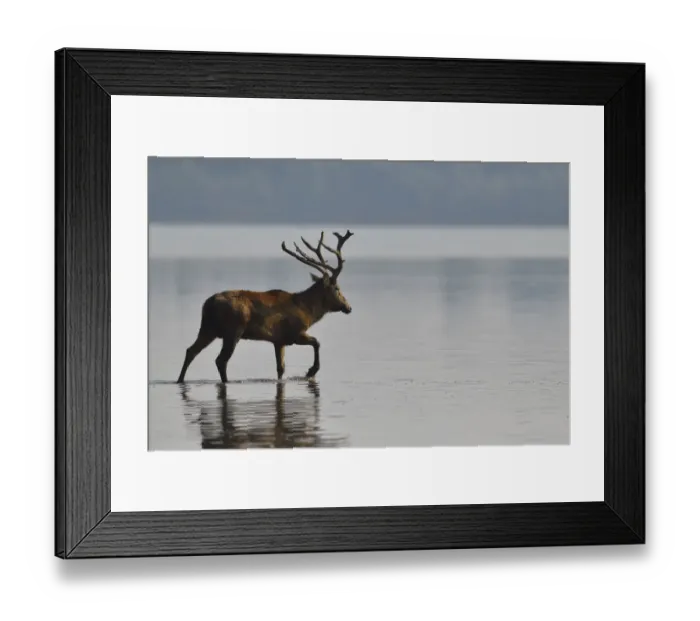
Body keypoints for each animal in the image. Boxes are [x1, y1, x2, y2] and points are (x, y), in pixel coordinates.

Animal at [176, 230, 354, 384]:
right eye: (337, 288)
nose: (348, 307)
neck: (308, 311)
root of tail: (209, 304)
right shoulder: (294, 333)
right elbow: (317, 342)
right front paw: (311, 371)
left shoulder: (279, 340)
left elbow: (280, 368)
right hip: (233, 330)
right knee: (220, 360)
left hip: (208, 328)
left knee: (191, 351)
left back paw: (180, 379)